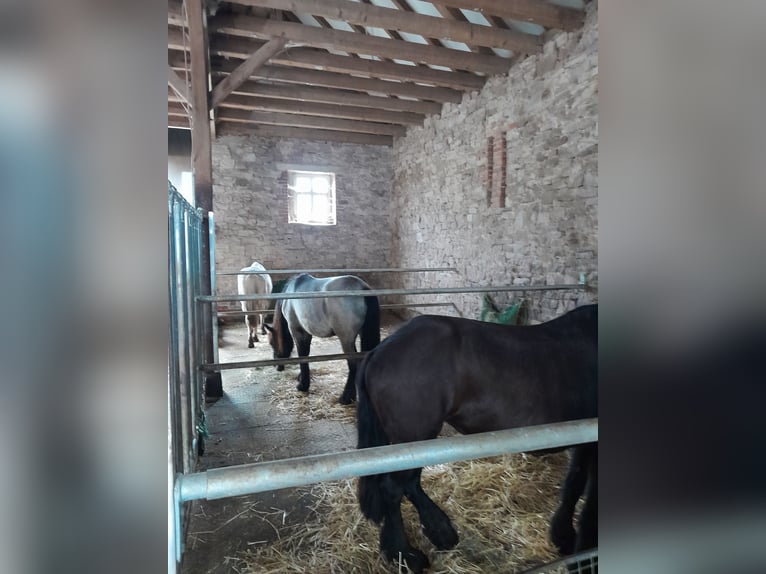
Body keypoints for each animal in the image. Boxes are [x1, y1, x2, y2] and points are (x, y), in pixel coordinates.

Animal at [265, 273, 380, 404]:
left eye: (272, 343)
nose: (277, 366)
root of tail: (362, 288)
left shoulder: (297, 330)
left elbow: (302, 355)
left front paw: (303, 385)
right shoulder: (306, 332)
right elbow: (306, 353)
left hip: (346, 340)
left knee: (353, 365)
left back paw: (345, 398)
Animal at [355, 304, 598, 573]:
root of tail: (378, 352)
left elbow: (573, 484)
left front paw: (563, 536)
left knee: (410, 484)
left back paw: (441, 532)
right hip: (413, 435)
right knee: (394, 488)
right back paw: (405, 554)